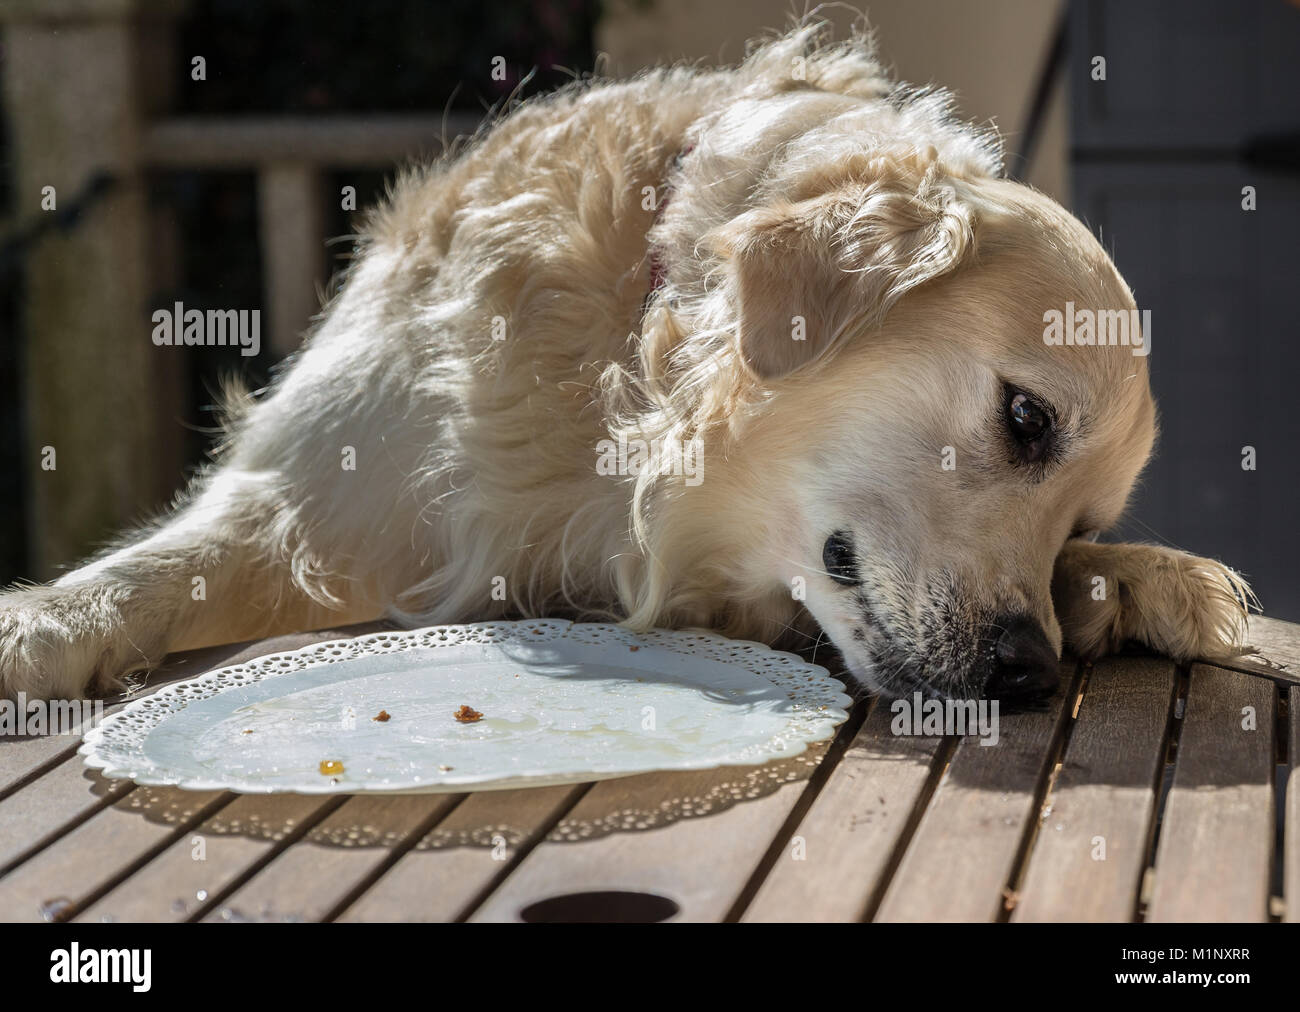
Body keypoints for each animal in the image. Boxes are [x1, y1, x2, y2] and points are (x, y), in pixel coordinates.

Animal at [2, 21, 1258, 702]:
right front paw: (40, 627)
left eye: (1082, 521)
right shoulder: (322, 486)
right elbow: (157, 570)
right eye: (1025, 420)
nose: (1026, 676)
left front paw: (1140, 575)